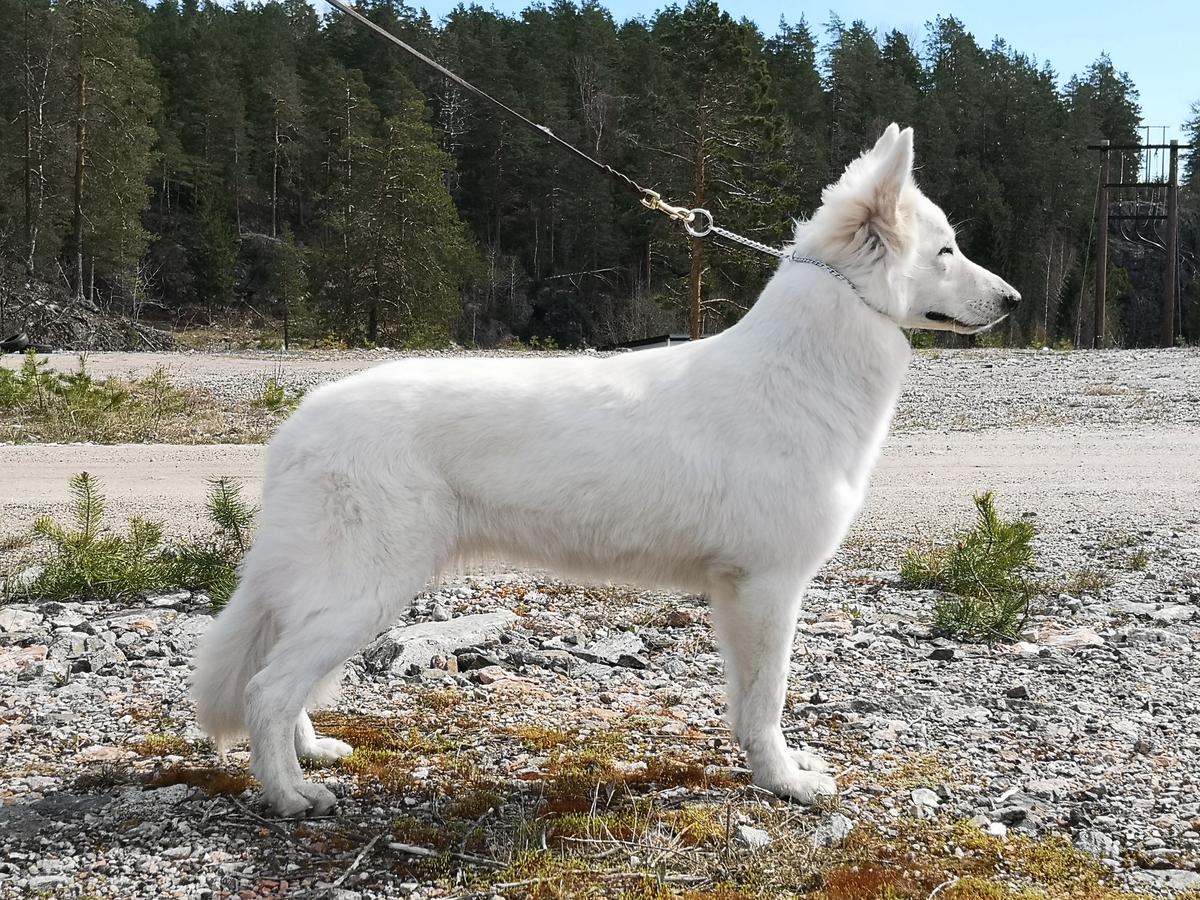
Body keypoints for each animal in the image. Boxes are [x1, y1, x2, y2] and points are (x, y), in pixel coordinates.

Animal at [196, 123, 1022, 820]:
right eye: (947, 252)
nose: (1014, 300)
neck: (805, 367)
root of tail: (298, 425)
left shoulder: (740, 594)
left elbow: (745, 704)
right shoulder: (768, 588)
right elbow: (767, 703)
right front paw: (784, 782)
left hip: (341, 594)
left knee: (283, 679)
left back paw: (310, 754)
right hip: (367, 591)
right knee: (268, 688)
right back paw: (290, 795)